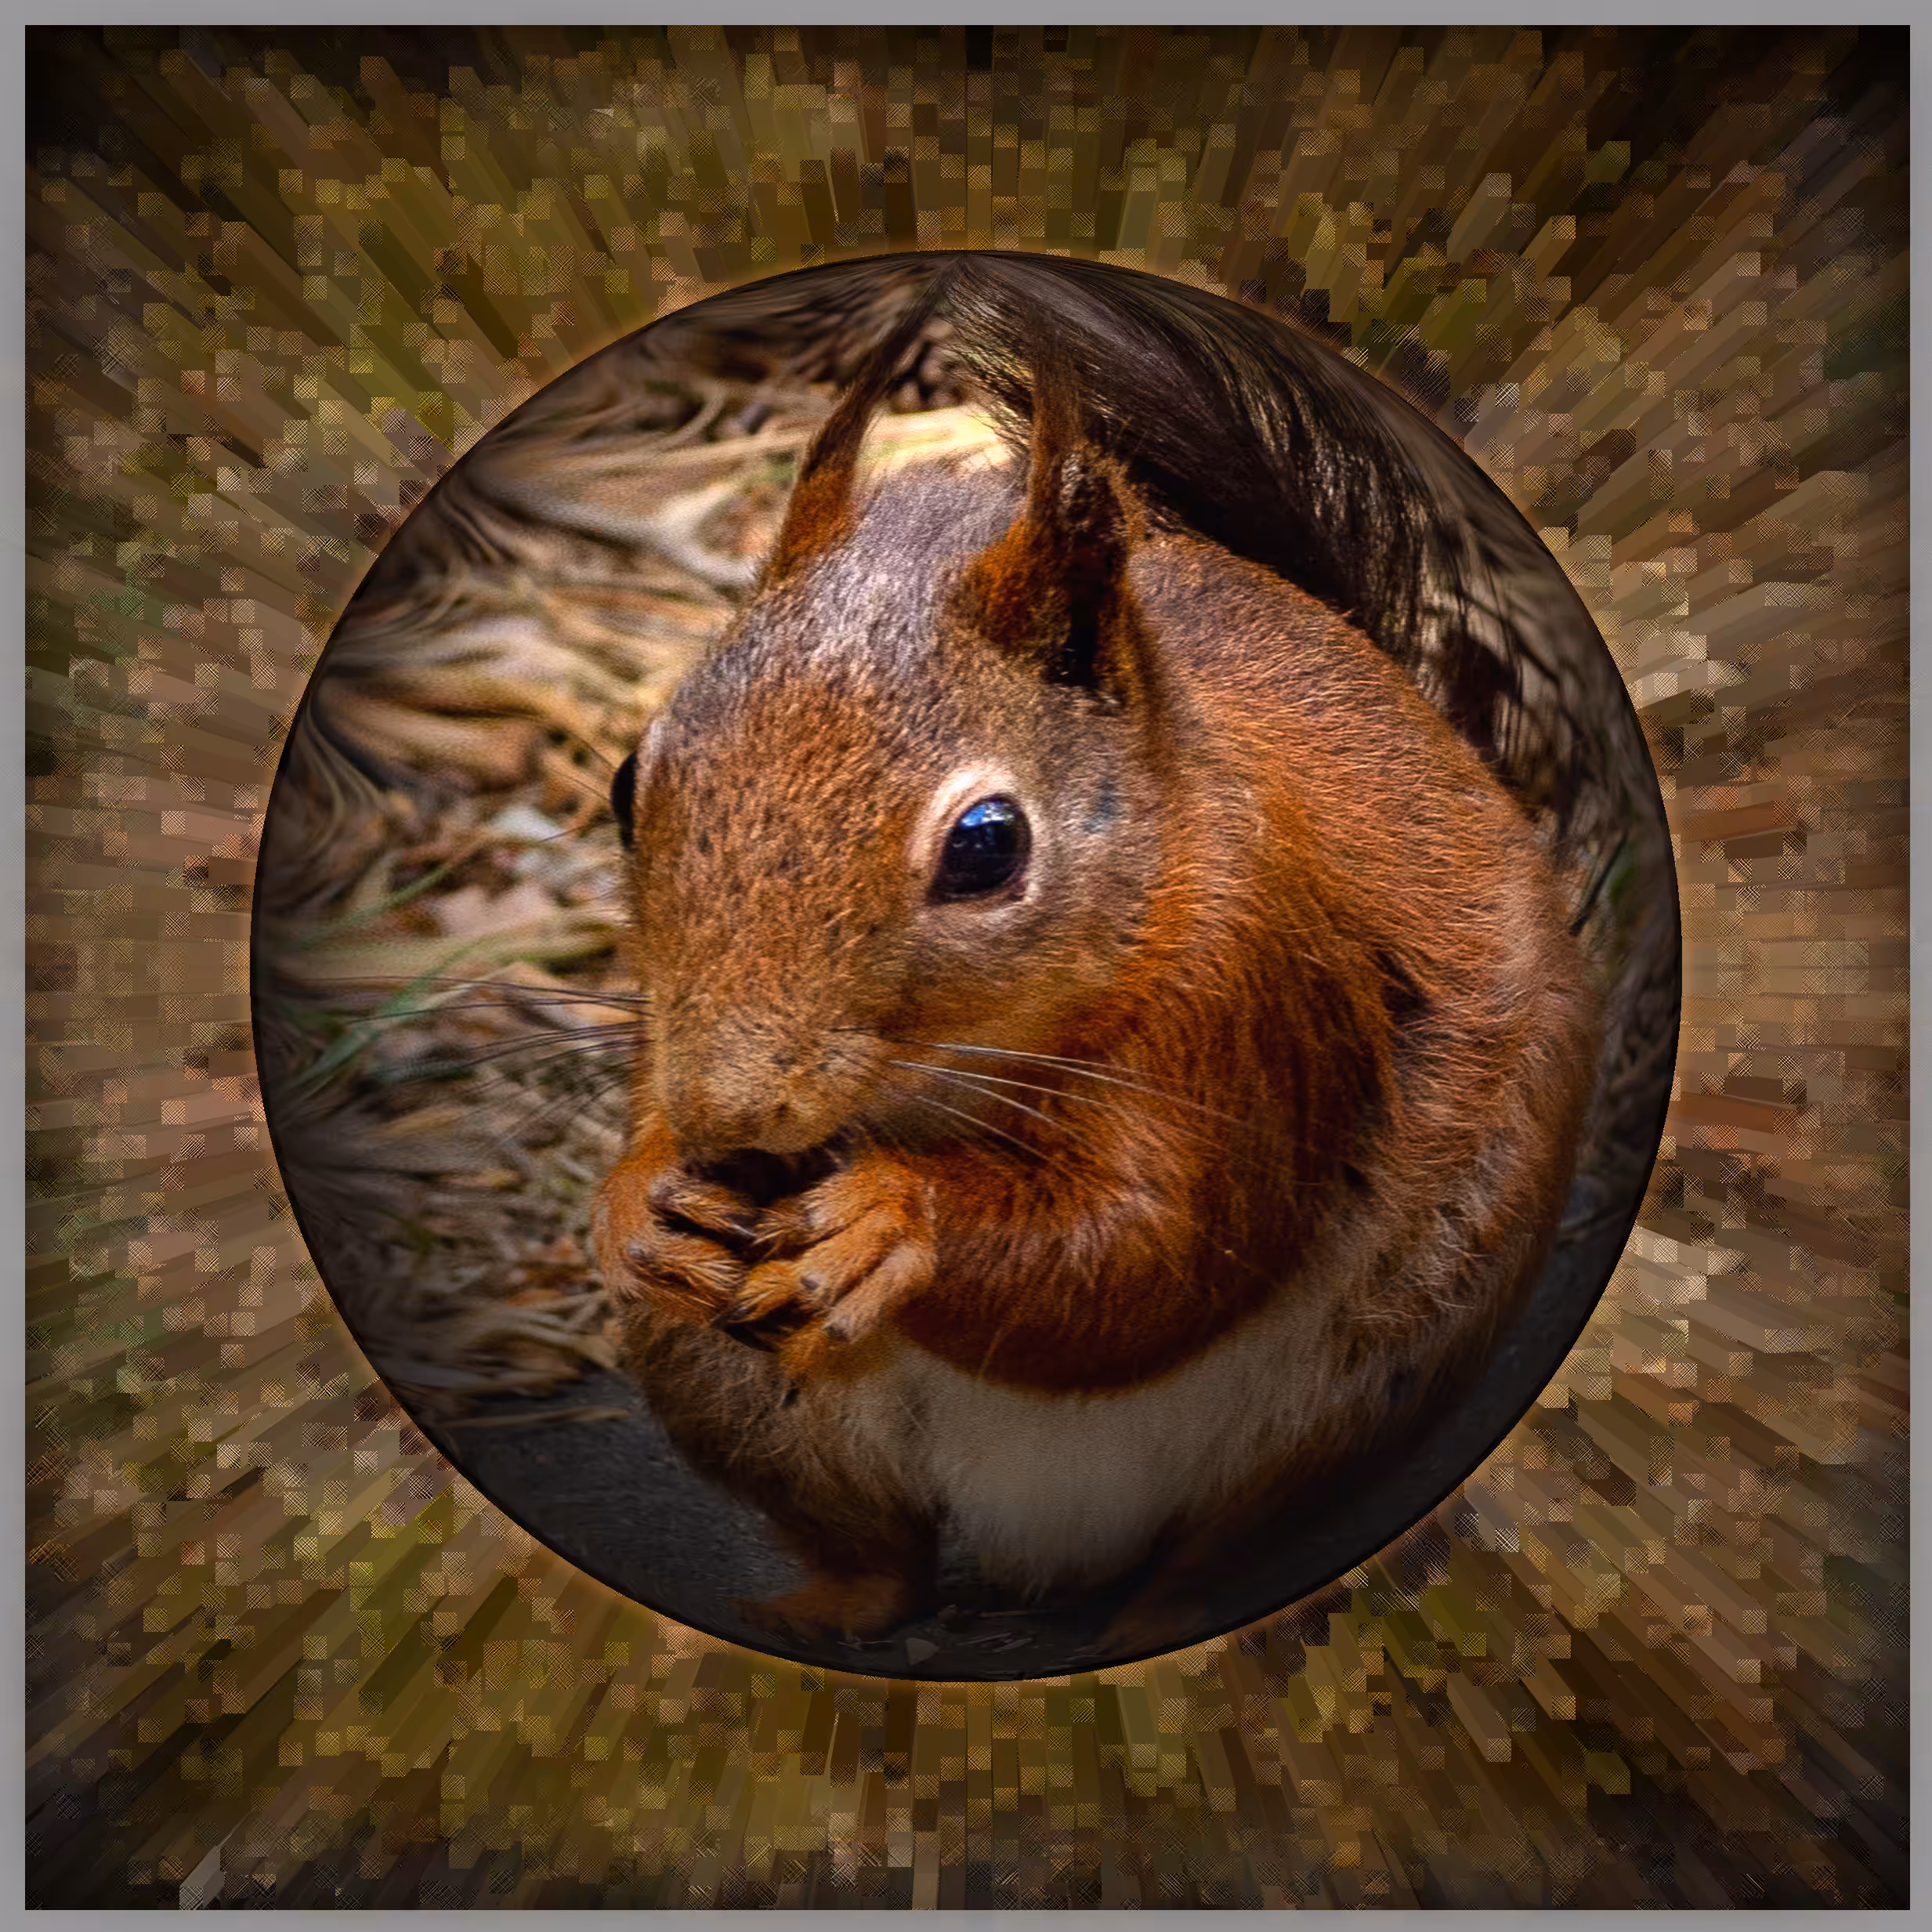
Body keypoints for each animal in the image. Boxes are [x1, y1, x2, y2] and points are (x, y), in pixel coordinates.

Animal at [591, 256, 1603, 1659]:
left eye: (985, 846)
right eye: (628, 782)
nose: (732, 1116)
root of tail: (1044, 1536)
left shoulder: (1248, 983)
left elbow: (1156, 1249)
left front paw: (897, 1219)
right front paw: (642, 1204)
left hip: (1376, 1372)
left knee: (1237, 1536)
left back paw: (1182, 1613)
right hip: (736, 1395)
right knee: (879, 1554)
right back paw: (801, 1607)